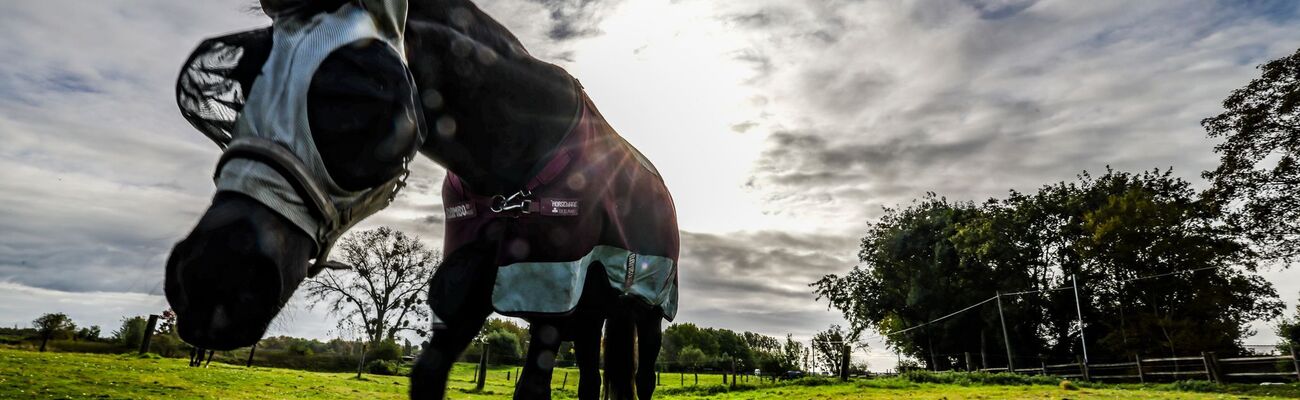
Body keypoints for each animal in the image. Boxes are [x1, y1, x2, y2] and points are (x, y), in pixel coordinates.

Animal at [163, 1, 686, 397]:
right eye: (238, 88)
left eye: (359, 92)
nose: (211, 279)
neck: (518, 162)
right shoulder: (465, 288)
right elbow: (429, 374)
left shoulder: (549, 294)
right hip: (596, 314)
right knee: (598, 379)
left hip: (645, 311)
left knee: (641, 377)